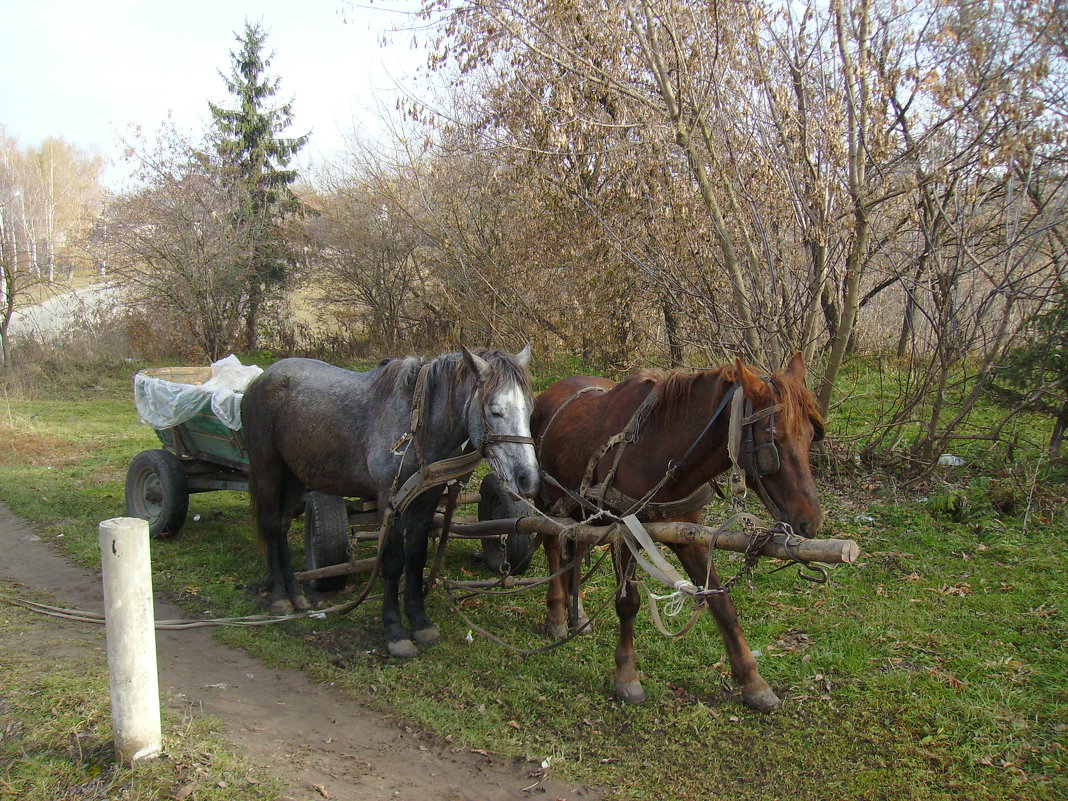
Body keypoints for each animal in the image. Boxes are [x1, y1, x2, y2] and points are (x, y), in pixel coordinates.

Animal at [244, 346, 542, 657]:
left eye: (530, 411)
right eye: (495, 410)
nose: (528, 479)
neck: (415, 427)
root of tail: (260, 380)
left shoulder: (425, 501)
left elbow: (415, 559)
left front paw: (421, 623)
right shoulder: (391, 500)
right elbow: (392, 563)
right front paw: (395, 631)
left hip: (295, 477)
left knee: (281, 526)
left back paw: (295, 593)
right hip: (268, 470)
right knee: (271, 525)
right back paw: (279, 597)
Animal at [534, 354, 824, 713]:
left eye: (811, 435)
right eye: (775, 439)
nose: (810, 522)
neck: (660, 446)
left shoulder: (687, 534)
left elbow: (722, 603)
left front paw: (753, 681)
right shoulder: (626, 533)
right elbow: (628, 602)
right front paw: (627, 676)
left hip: (579, 509)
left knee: (573, 546)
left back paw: (578, 614)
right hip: (545, 499)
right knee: (551, 545)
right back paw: (557, 614)